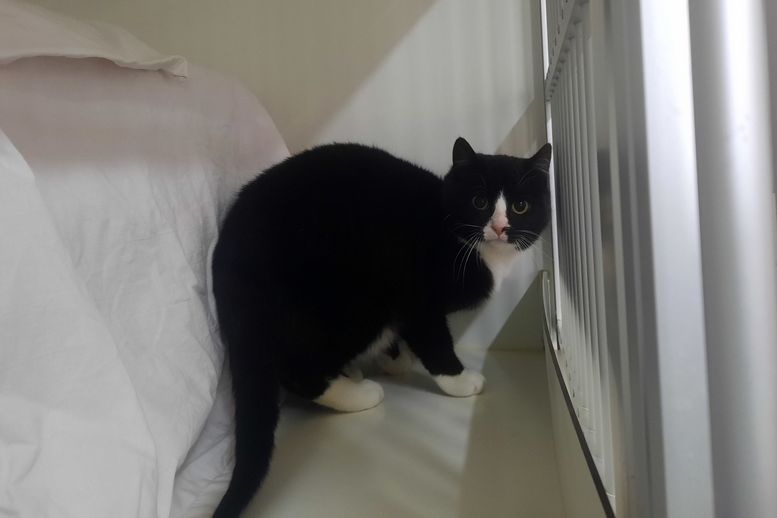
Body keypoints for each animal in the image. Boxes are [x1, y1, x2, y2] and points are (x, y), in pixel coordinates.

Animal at [211, 137, 551, 517]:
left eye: (520, 206)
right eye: (480, 202)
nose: (500, 228)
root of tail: (228, 262)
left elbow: (401, 337)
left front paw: (396, 360)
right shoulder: (416, 295)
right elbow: (433, 342)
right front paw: (459, 381)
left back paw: (349, 373)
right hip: (353, 298)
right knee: (298, 370)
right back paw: (357, 393)